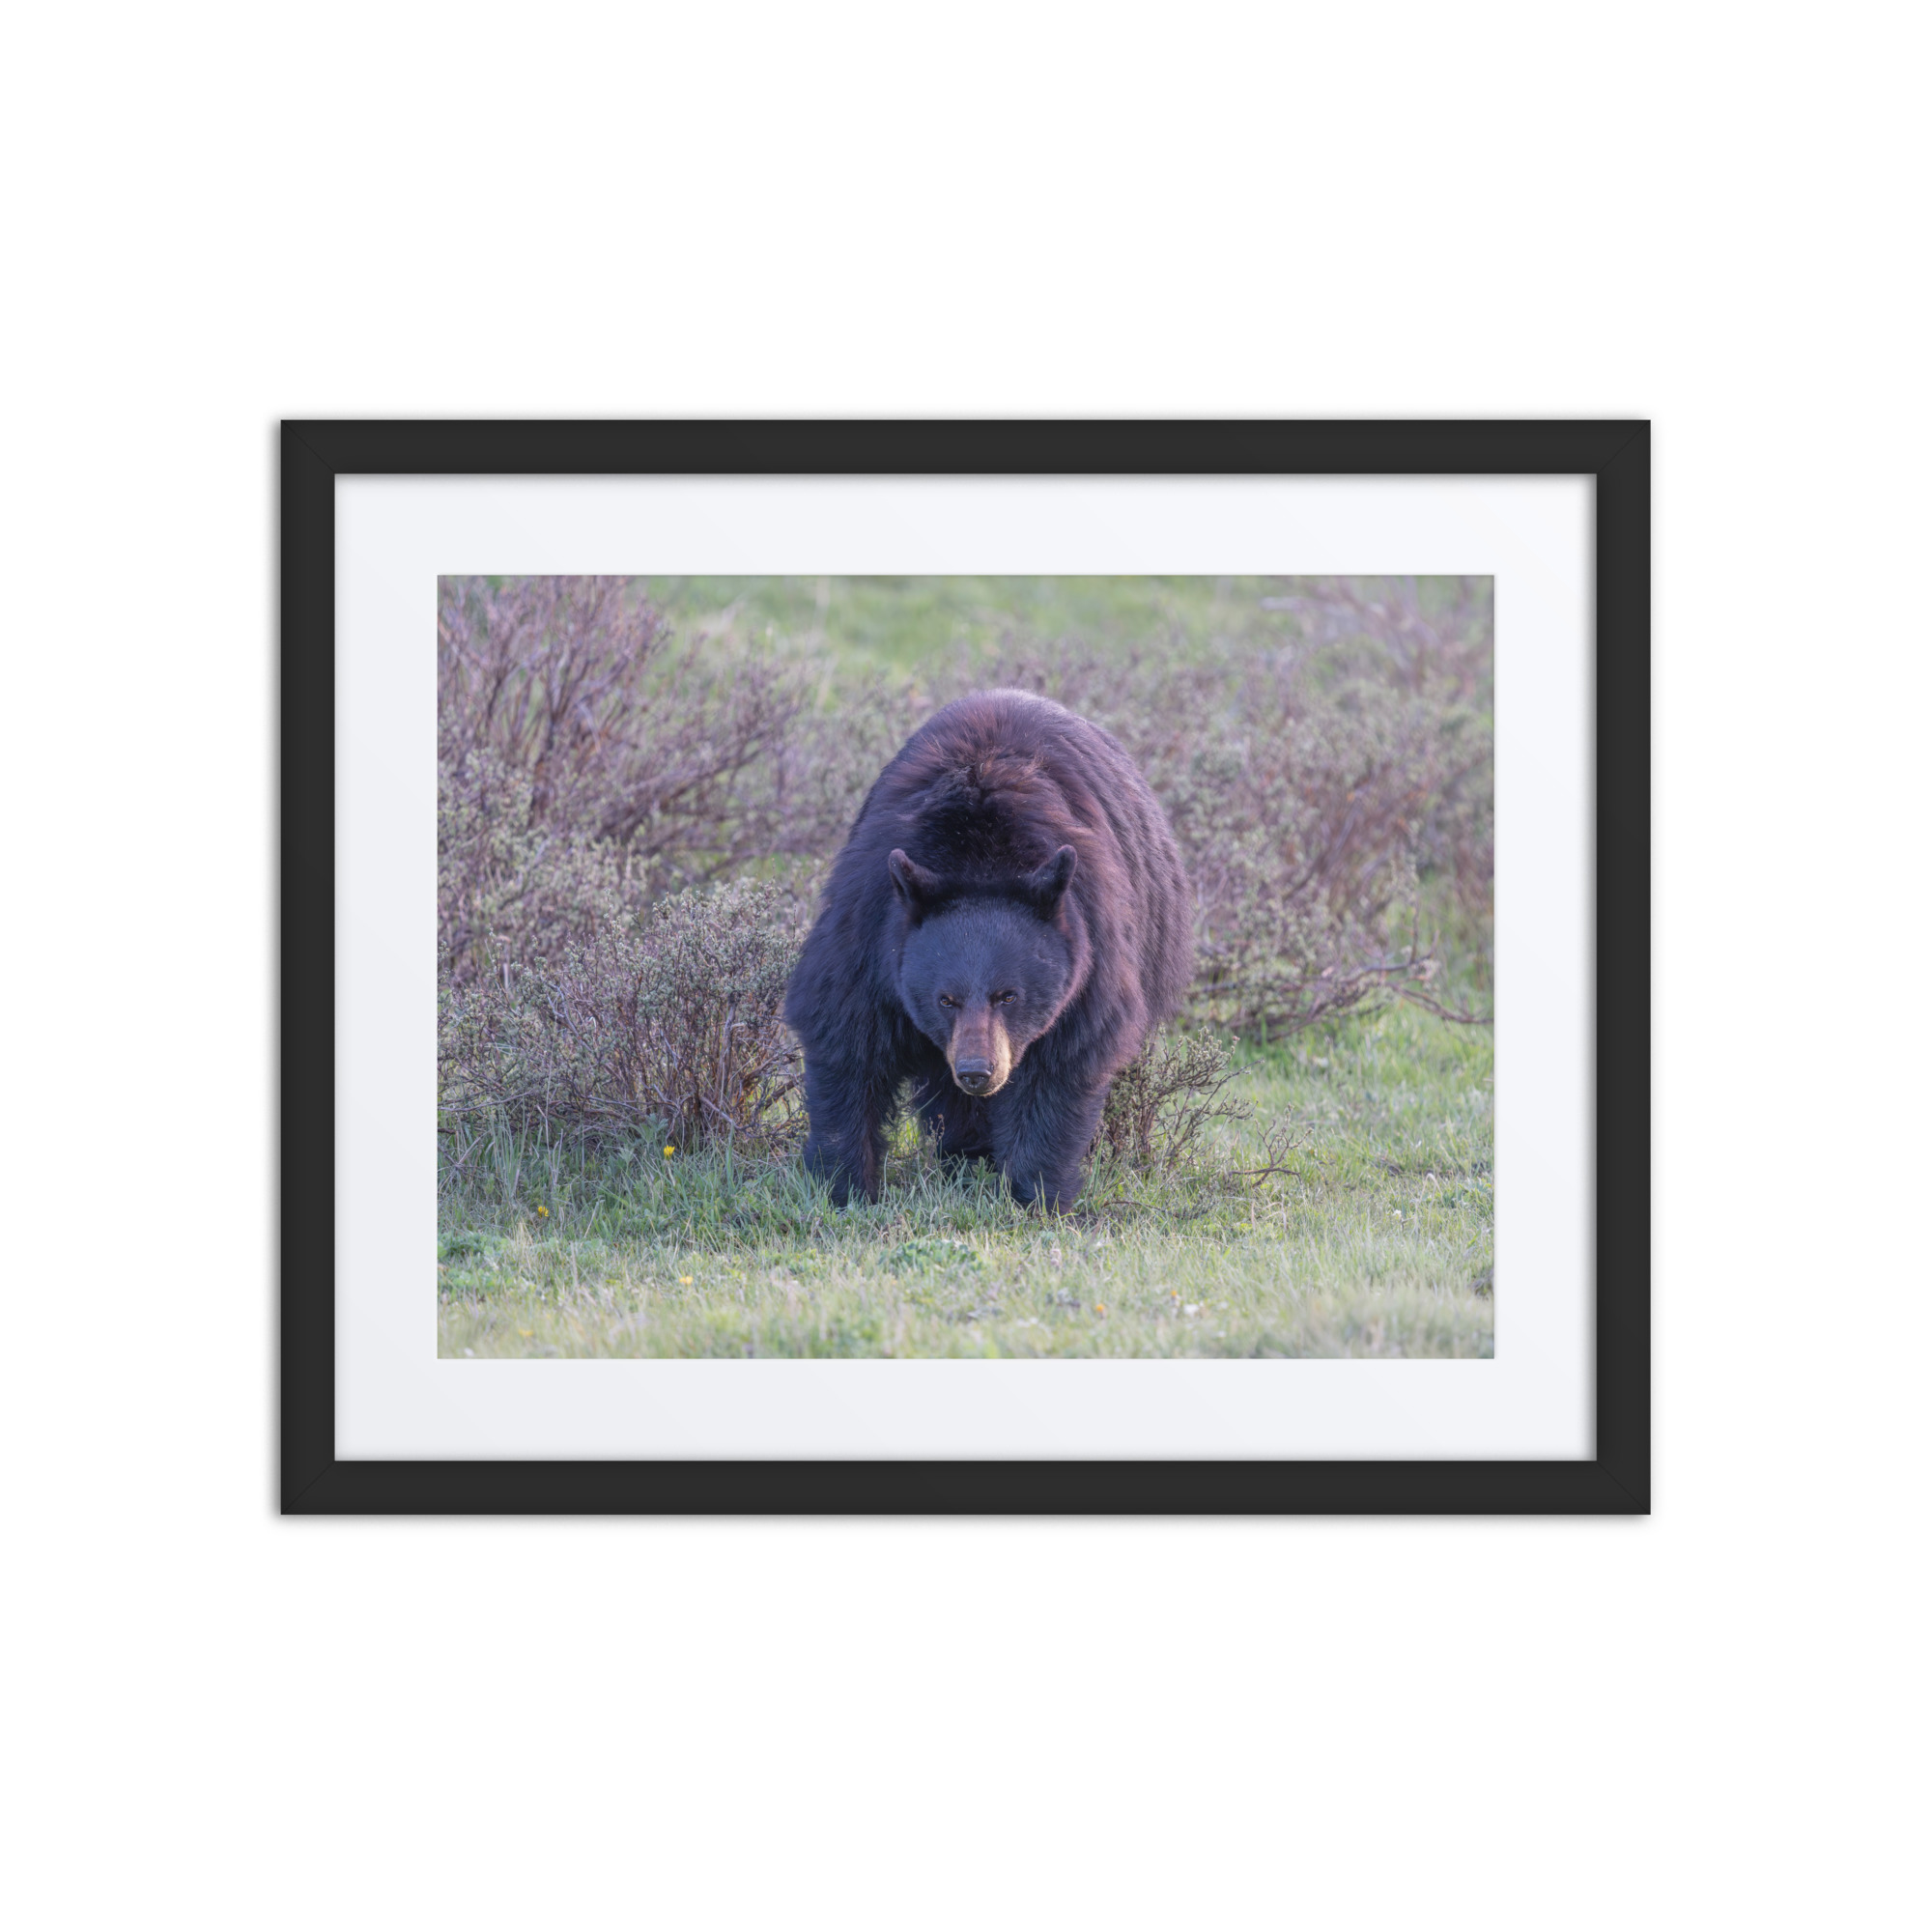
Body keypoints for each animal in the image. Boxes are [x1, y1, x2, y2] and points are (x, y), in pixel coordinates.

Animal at [783, 688, 1193, 1208]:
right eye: (945, 999)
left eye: (1009, 995)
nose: (978, 1072)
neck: (978, 855)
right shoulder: (870, 928)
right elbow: (846, 1038)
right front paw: (844, 1186)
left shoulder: (1091, 947)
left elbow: (1062, 1064)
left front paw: (1037, 1194)